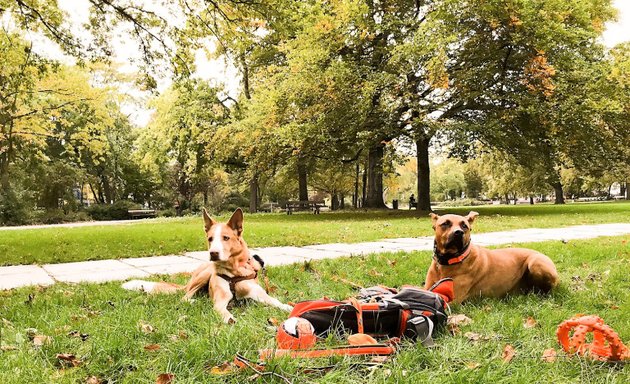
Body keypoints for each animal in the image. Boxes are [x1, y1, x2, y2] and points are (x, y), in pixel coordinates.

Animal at [123, 208, 294, 322]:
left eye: (226, 238)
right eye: (210, 239)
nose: (213, 253)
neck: (234, 273)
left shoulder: (259, 294)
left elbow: (276, 301)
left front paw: (290, 307)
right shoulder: (219, 302)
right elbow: (224, 312)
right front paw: (231, 319)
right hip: (203, 276)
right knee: (185, 296)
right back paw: (195, 300)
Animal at [428, 210, 560, 304]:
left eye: (464, 226)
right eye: (445, 223)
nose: (458, 232)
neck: (449, 261)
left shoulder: (453, 299)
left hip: (535, 262)